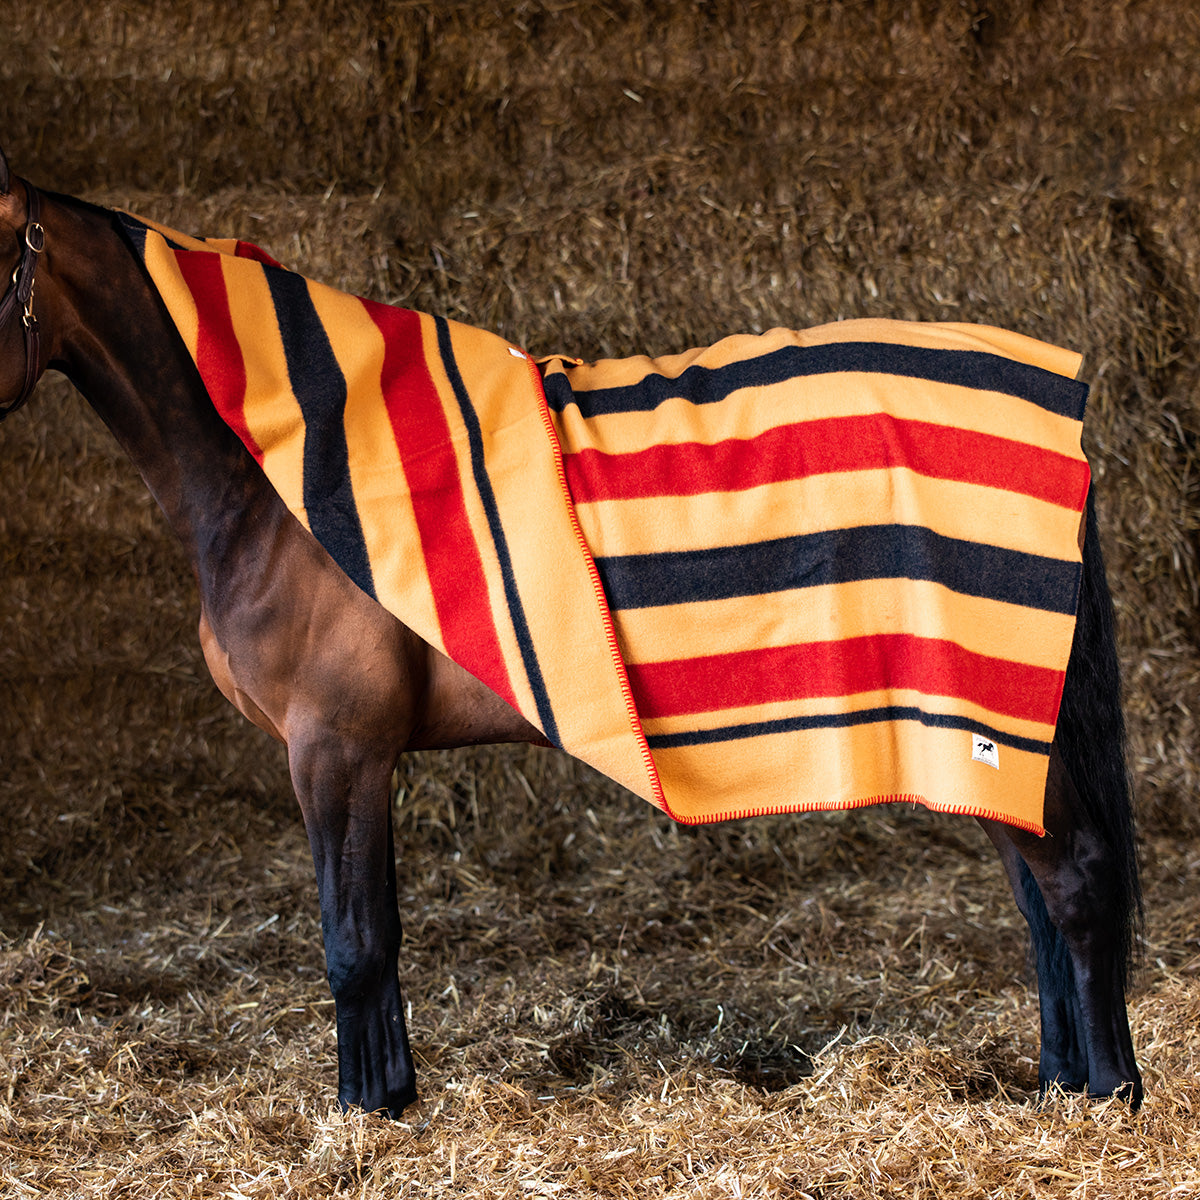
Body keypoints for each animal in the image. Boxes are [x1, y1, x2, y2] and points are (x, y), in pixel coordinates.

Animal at [0, 147, 1143, 1116]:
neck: (281, 478)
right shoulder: (354, 757)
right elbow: (381, 933)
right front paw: (395, 1098)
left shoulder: (336, 747)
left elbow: (353, 941)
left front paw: (364, 1113)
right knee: (1040, 901)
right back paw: (1057, 1083)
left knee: (1075, 884)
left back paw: (1108, 1095)